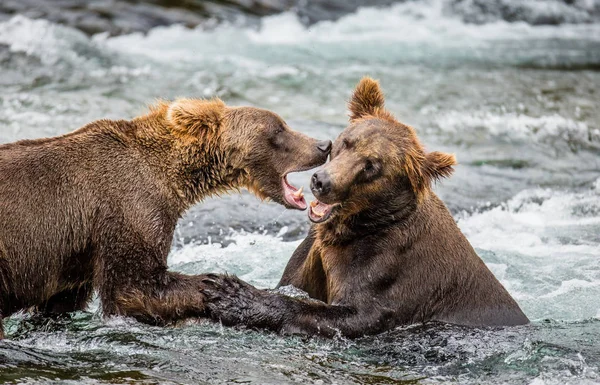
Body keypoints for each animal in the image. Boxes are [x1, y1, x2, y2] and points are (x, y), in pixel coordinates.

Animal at [0, 97, 332, 338]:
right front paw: (219, 288)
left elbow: (61, 300)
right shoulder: (129, 207)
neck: (175, 176)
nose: (323, 145)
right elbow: (136, 287)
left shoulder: (76, 249)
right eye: (278, 129)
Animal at [203, 77, 528, 336]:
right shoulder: (316, 255)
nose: (321, 181)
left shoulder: (390, 270)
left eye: (371, 166)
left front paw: (228, 292)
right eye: (347, 141)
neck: (353, 227)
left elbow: (349, 314)